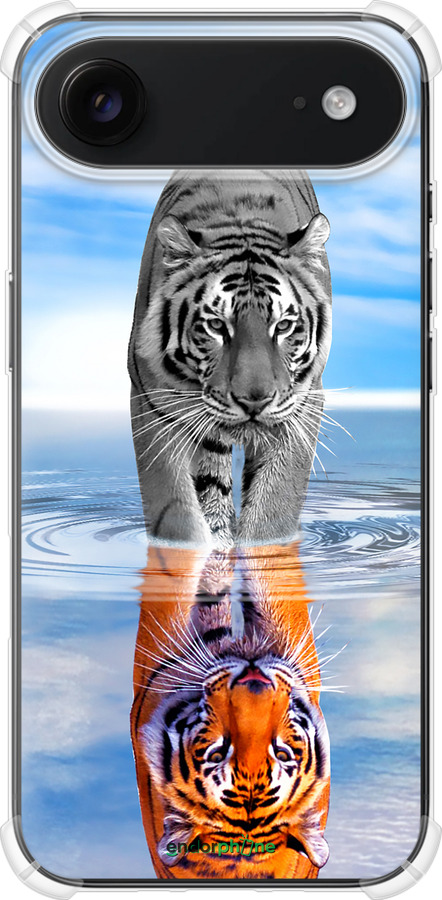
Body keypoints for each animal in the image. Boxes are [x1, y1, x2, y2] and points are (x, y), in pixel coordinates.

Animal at [128, 169, 332, 549]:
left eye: (283, 326)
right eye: (216, 325)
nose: (254, 401)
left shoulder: (302, 405)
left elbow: (273, 510)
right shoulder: (153, 403)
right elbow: (177, 514)